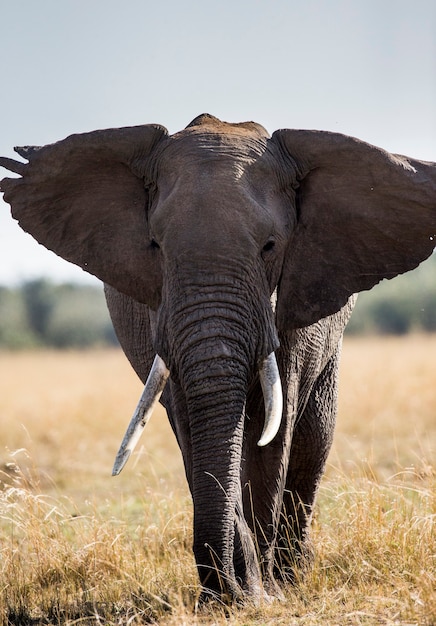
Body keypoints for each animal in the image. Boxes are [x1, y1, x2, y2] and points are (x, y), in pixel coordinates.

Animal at [0, 114, 436, 604]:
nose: (232, 586)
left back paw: (292, 575)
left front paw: (263, 595)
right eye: (155, 246)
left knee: (313, 436)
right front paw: (232, 595)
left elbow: (274, 430)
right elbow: (192, 420)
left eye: (270, 246)